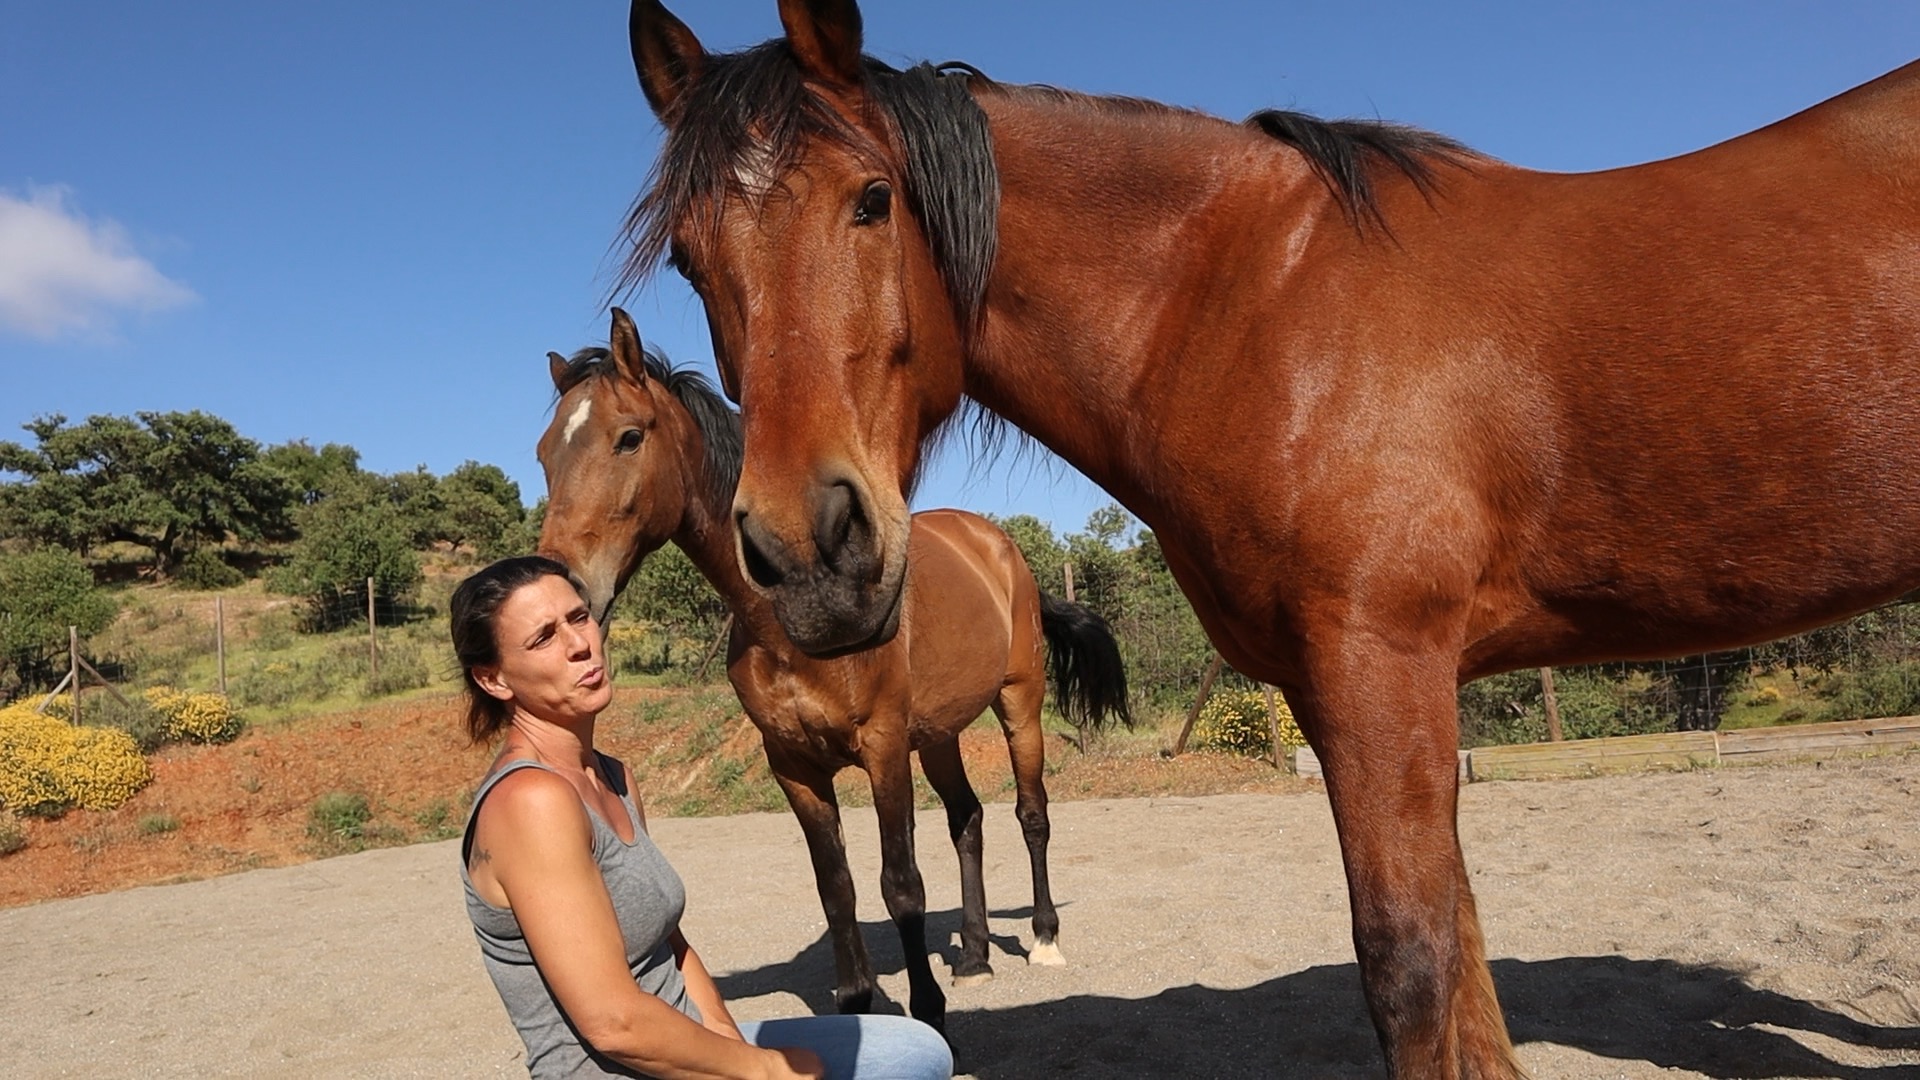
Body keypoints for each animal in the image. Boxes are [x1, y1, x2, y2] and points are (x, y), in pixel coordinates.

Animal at [533, 307, 1132, 1033]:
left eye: (628, 437)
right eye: (545, 453)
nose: (564, 583)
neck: (795, 624)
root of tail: (999, 546)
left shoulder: (881, 749)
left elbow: (900, 883)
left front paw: (926, 1011)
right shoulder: (794, 765)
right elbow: (835, 885)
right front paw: (855, 1001)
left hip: (1020, 703)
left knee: (1031, 813)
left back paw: (1042, 939)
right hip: (938, 735)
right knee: (967, 819)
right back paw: (974, 954)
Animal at [617, 2, 1920, 1076]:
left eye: (873, 198)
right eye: (689, 255)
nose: (807, 556)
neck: (1257, 303)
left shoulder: (1381, 668)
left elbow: (1408, 966)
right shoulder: (1361, 691)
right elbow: (1463, 957)